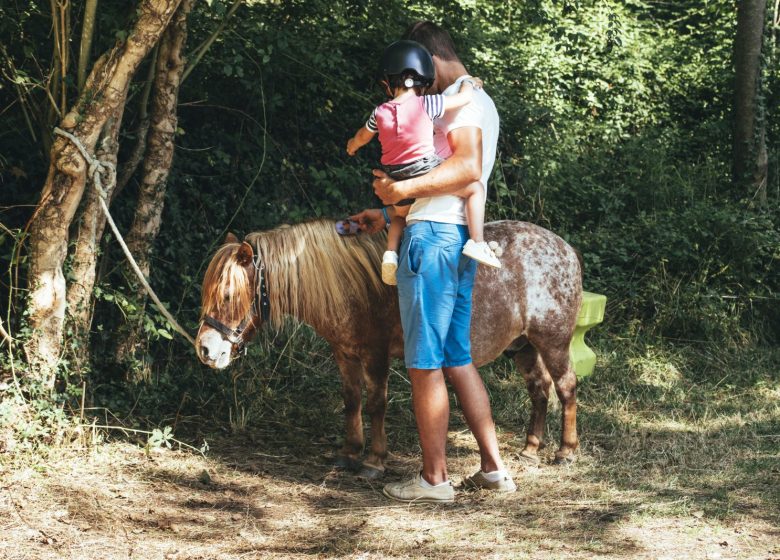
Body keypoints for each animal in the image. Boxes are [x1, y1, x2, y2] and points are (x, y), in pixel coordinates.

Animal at [198, 218, 580, 476]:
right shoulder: (345, 355)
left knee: (565, 387)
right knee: (539, 390)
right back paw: (531, 448)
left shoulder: (375, 355)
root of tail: (565, 249)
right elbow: (352, 401)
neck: (352, 285)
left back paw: (566, 451)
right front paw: (350, 452)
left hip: (553, 343)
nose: (205, 349)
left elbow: (376, 405)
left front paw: (374, 460)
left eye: (228, 295)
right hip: (523, 347)